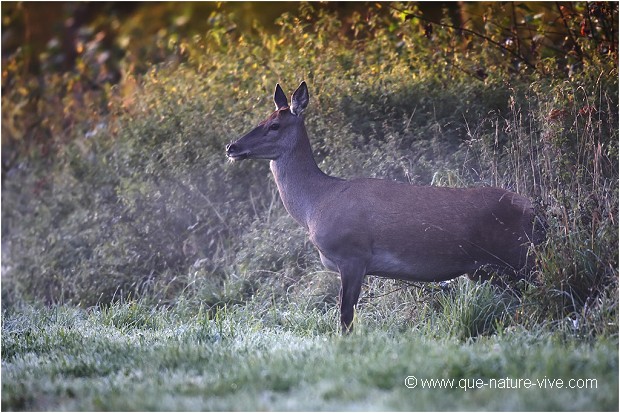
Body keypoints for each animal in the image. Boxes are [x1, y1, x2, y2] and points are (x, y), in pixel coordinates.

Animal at [226, 80, 544, 332]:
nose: (232, 147)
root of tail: (534, 210)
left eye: (274, 125)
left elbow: (345, 315)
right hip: (492, 268)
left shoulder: (353, 254)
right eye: (262, 118)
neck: (315, 204)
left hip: (520, 255)